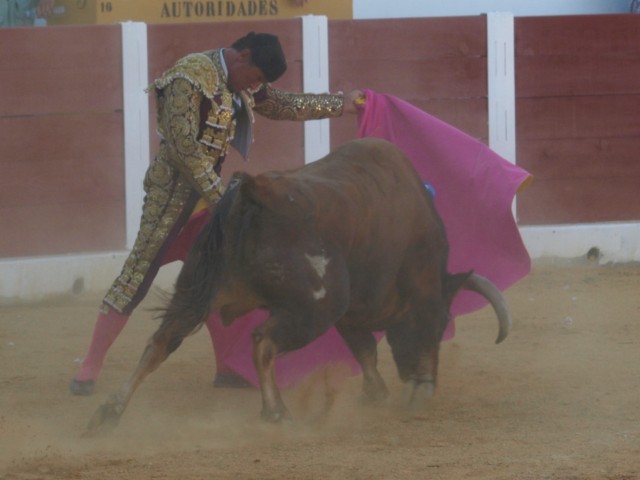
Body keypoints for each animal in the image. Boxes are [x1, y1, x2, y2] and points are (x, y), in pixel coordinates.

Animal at [87, 138, 512, 432]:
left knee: (161, 341)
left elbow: (364, 350)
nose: (424, 387)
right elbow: (367, 348)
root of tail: (256, 191)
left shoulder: (350, 311)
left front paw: (376, 393)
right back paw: (276, 412)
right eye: (439, 322)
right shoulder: (349, 306)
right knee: (263, 341)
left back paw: (109, 411)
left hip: (196, 290)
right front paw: (385, 393)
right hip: (314, 308)